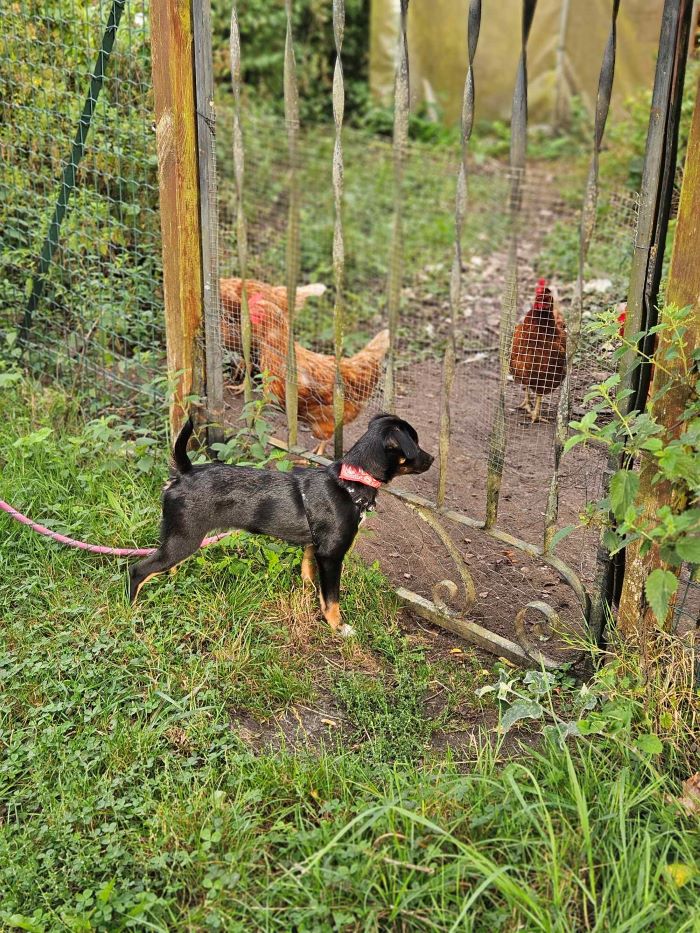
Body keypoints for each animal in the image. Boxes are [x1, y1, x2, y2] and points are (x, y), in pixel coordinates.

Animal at [127, 414, 432, 632]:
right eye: (415, 445)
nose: (432, 458)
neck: (349, 482)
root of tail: (184, 473)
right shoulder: (331, 556)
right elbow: (332, 599)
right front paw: (338, 626)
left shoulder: (314, 548)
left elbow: (308, 572)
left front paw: (308, 590)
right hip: (185, 539)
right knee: (138, 570)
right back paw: (132, 611)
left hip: (181, 538)